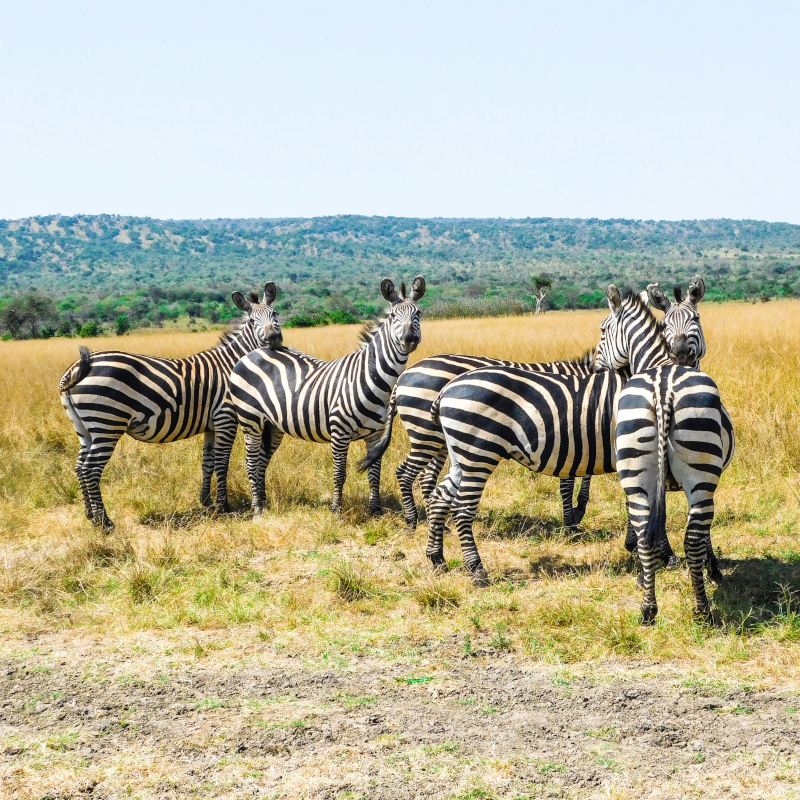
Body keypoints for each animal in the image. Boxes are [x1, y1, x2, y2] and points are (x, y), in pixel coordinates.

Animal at [58, 283, 282, 531]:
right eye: (252, 321)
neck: (232, 366)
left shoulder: (211, 425)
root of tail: (79, 366)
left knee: (80, 467)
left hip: (85, 428)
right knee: (91, 469)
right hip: (107, 422)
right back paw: (105, 523)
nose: (274, 338)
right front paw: (224, 506)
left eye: (275, 314)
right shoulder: (226, 418)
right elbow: (222, 463)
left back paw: (90, 516)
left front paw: (206, 501)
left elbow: (208, 463)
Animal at [228, 276, 425, 517]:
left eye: (418, 313)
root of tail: (254, 352)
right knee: (251, 461)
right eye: (393, 316)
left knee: (262, 461)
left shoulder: (375, 435)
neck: (373, 379)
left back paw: (264, 502)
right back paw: (257, 508)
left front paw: (376, 511)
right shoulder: (339, 432)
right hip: (250, 419)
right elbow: (340, 473)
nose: (409, 339)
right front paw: (336, 511)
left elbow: (374, 473)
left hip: (272, 425)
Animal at [421, 290, 729, 587]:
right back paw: (477, 570)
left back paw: (437, 558)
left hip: (462, 455)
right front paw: (670, 555)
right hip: (478, 453)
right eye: (665, 325)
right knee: (462, 508)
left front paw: (637, 546)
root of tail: (447, 389)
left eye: (696, 319)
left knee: (440, 497)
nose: (683, 356)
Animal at [595, 286, 734, 624]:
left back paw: (648, 609)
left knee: (645, 533)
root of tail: (662, 387)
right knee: (693, 538)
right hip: (701, 475)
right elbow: (704, 534)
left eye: (603, 331)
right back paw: (702, 610)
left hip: (635, 472)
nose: (594, 365)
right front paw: (713, 570)